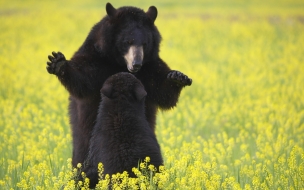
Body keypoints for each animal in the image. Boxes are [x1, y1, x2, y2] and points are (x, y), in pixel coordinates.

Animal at [46, 2, 191, 166]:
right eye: (128, 42)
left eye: (145, 43)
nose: (136, 64)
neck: (119, 63)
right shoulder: (97, 58)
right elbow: (83, 77)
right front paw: (59, 63)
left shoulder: (149, 67)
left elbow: (163, 90)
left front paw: (177, 77)